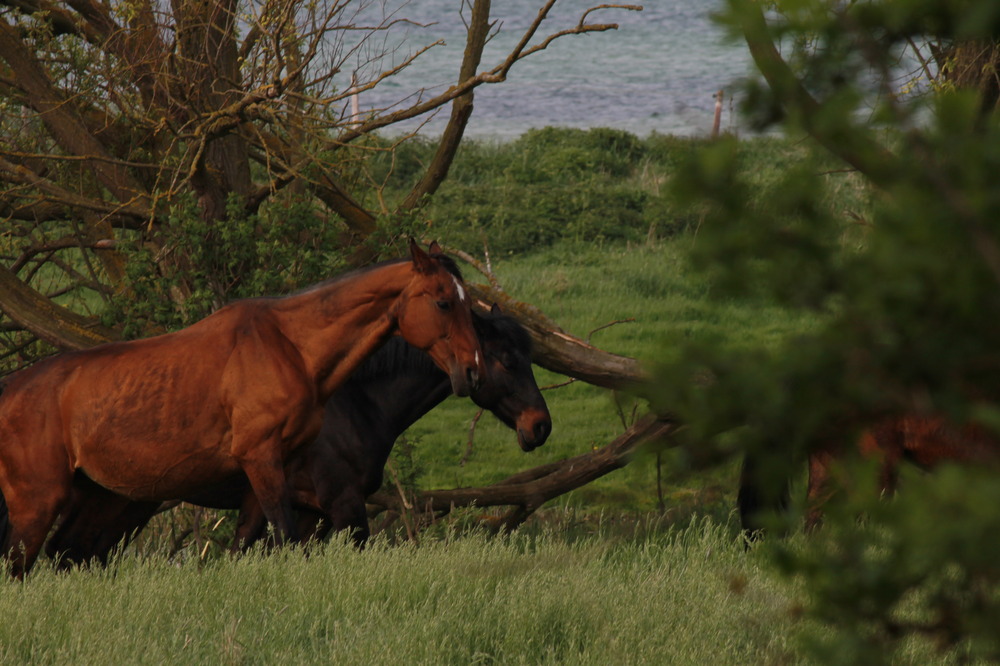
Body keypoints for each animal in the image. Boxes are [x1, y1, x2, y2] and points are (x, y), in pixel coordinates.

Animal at [0, 240, 484, 576]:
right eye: (444, 301)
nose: (472, 370)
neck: (289, 349)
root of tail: (11, 390)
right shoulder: (263, 460)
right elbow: (284, 538)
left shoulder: (272, 471)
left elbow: (248, 543)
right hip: (37, 503)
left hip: (100, 495)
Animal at [43, 302, 552, 560]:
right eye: (508, 359)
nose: (540, 425)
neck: (354, 406)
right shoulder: (343, 505)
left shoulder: (308, 514)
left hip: (119, 504)